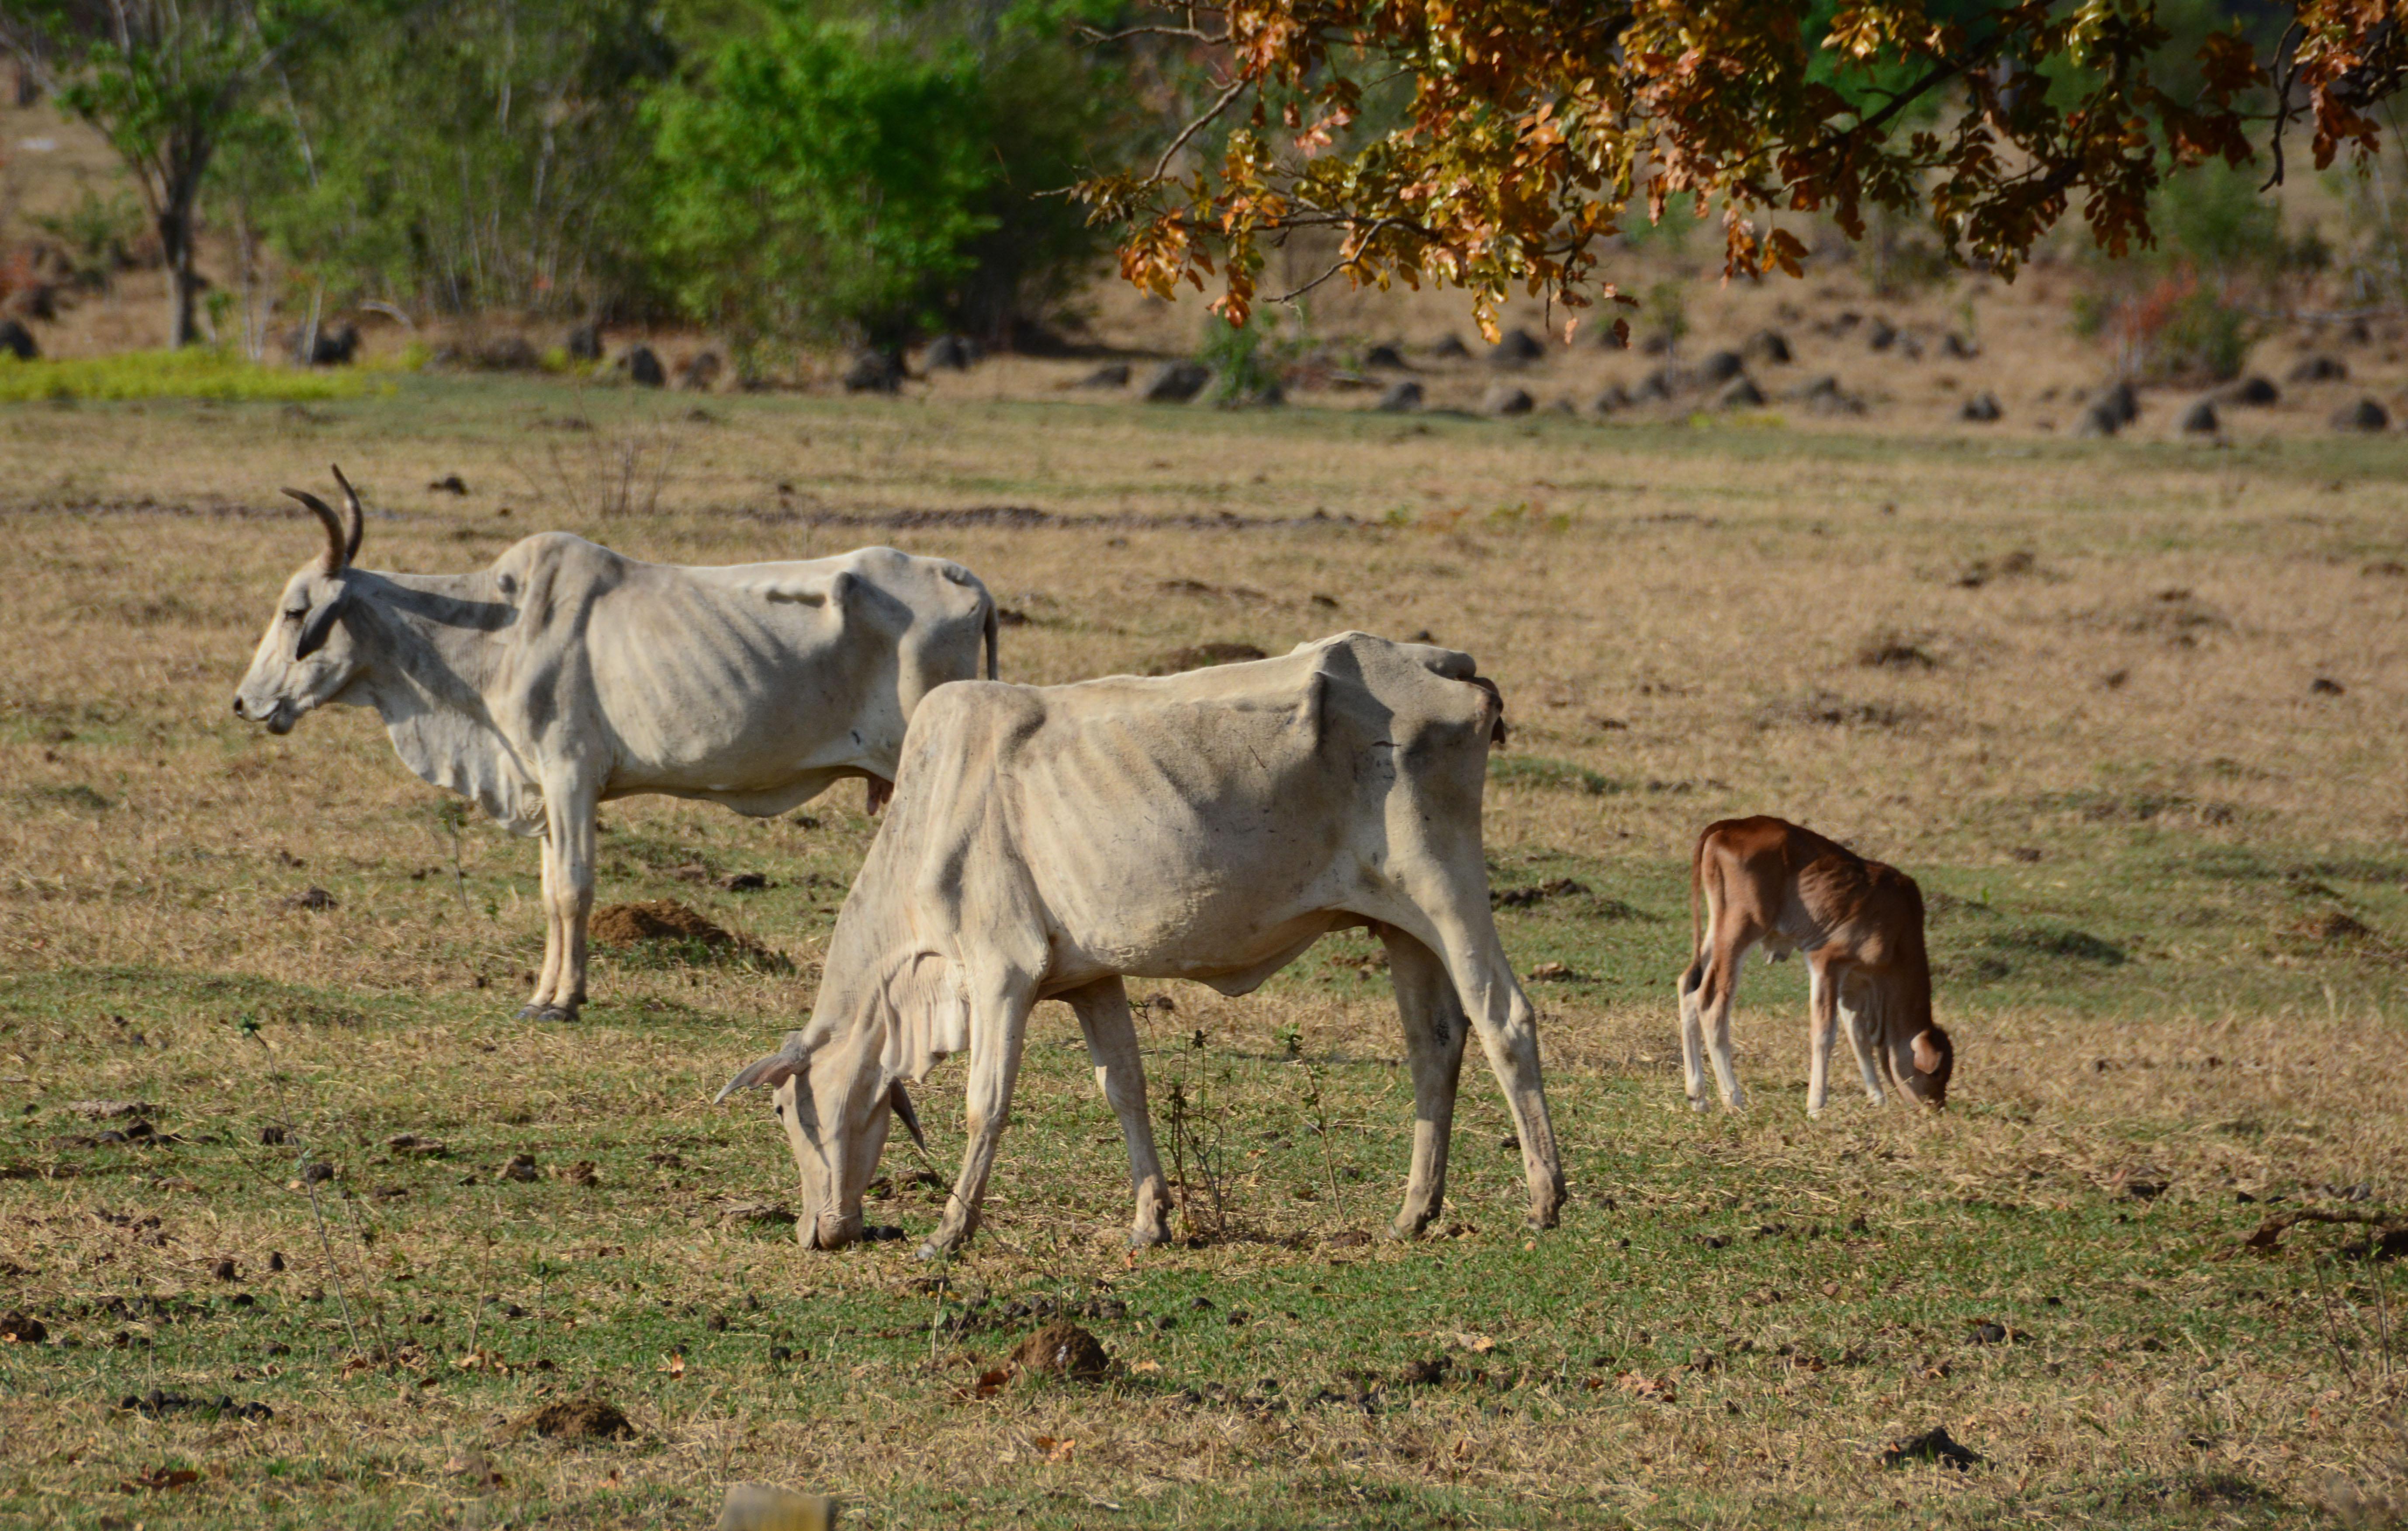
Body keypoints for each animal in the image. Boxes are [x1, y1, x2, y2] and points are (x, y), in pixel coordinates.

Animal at [227, 467, 996, 1015]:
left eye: (294, 611)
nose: (244, 702)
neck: (497, 629)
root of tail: (964, 579)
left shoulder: (570, 773)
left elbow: (573, 887)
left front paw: (564, 1002)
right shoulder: (541, 782)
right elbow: (547, 891)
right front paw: (541, 993)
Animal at [703, 630, 1570, 1251]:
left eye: (782, 1108)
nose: (815, 1232)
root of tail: (1439, 663)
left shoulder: (1000, 970)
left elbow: (988, 1102)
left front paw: (950, 1231)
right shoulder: (1088, 978)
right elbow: (1125, 1086)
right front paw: (1151, 1219)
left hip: (1446, 889)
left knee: (1504, 1019)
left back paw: (1544, 1199)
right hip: (1400, 925)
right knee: (1435, 1045)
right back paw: (1413, 1211)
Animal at [1676, 818, 1955, 1117]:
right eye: (1937, 1073)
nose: (1937, 1108)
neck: (1899, 932)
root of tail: (1731, 825)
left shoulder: (1853, 983)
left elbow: (1858, 1038)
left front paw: (1878, 1099)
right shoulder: (1828, 962)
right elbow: (1824, 1032)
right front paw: (1816, 1106)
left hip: (1717, 931)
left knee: (1687, 986)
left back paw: (1698, 1097)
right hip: (1741, 929)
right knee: (1711, 1003)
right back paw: (1734, 1099)